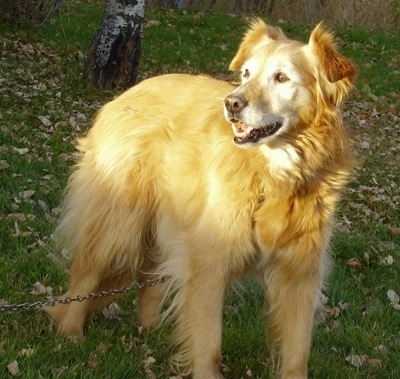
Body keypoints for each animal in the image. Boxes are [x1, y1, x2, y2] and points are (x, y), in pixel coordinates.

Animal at [46, 20, 356, 379]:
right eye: (246, 74)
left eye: (282, 77)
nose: (232, 103)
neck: (277, 174)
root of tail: (123, 95)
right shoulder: (210, 259)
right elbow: (209, 344)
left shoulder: (299, 273)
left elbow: (297, 355)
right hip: (119, 220)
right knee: (86, 270)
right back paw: (71, 332)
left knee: (148, 276)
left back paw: (151, 334)